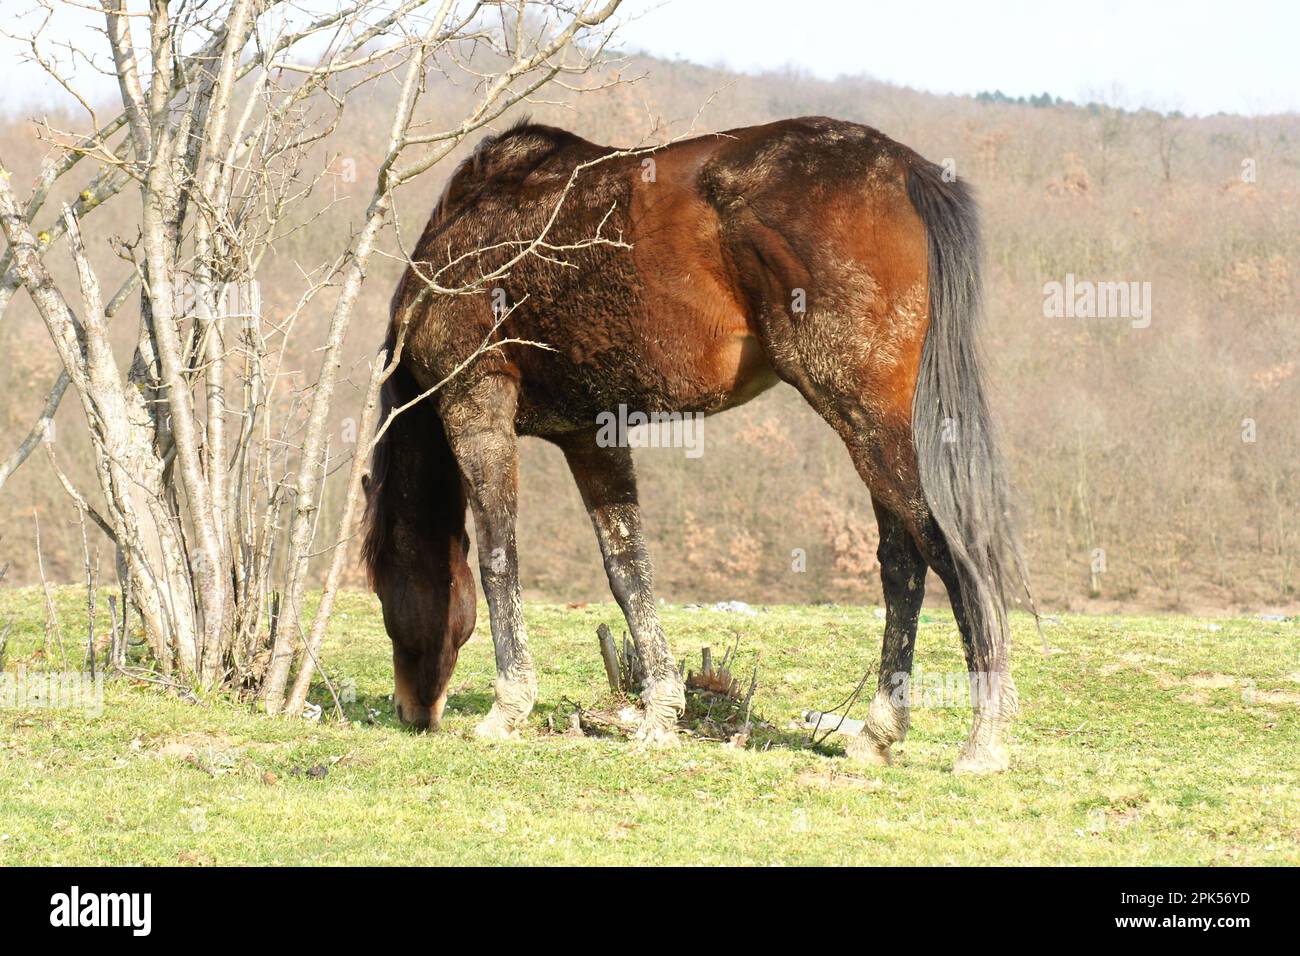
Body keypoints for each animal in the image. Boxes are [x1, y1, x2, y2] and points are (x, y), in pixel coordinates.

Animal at [364, 117, 1024, 780]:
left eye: (384, 589)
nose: (410, 712)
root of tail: (905, 168)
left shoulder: (476, 400)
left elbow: (501, 558)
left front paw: (507, 709)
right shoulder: (590, 432)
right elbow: (627, 570)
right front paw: (660, 715)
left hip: (865, 418)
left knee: (949, 554)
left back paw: (982, 740)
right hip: (875, 427)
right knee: (902, 564)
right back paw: (877, 732)